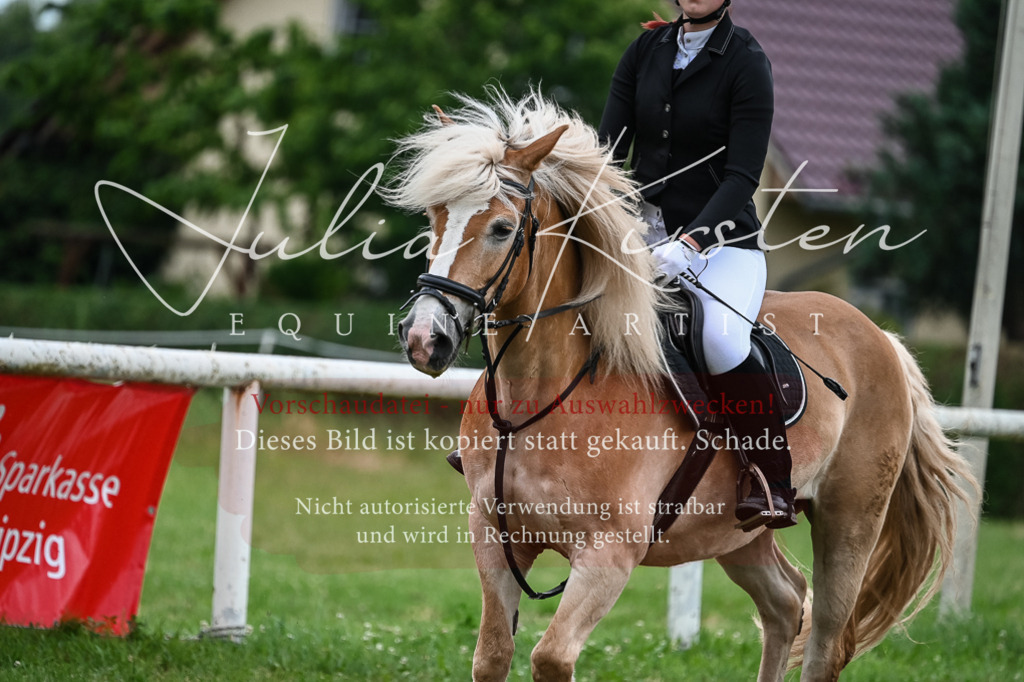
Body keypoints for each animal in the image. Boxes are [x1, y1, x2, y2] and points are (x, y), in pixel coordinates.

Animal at [387, 88, 976, 682]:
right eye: (436, 217)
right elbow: (492, 656)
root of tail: (881, 337)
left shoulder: (608, 556)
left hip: (849, 520)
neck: (540, 396)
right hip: (737, 534)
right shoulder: (494, 536)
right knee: (785, 604)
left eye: (503, 229)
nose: (424, 338)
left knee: (825, 639)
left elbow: (551, 658)